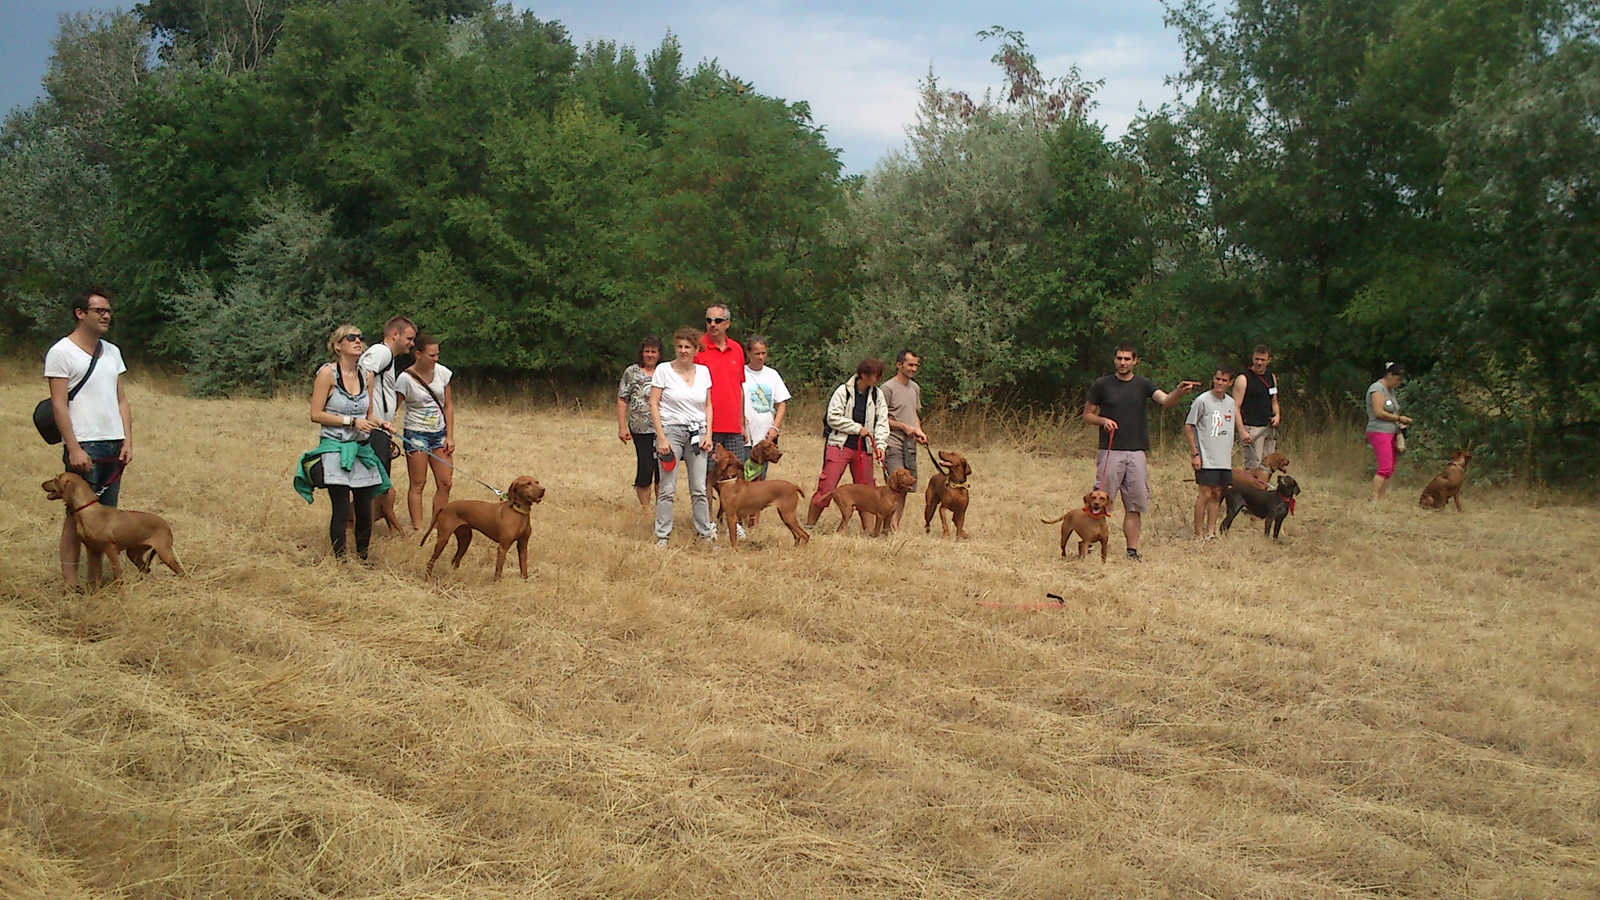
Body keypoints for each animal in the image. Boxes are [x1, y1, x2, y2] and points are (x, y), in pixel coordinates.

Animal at [42, 464, 184, 586]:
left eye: (56, 478)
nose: (42, 483)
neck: (87, 510)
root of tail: (166, 524)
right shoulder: (92, 550)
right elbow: (95, 577)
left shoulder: (110, 549)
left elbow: (118, 575)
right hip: (134, 553)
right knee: (146, 569)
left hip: (165, 553)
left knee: (182, 572)